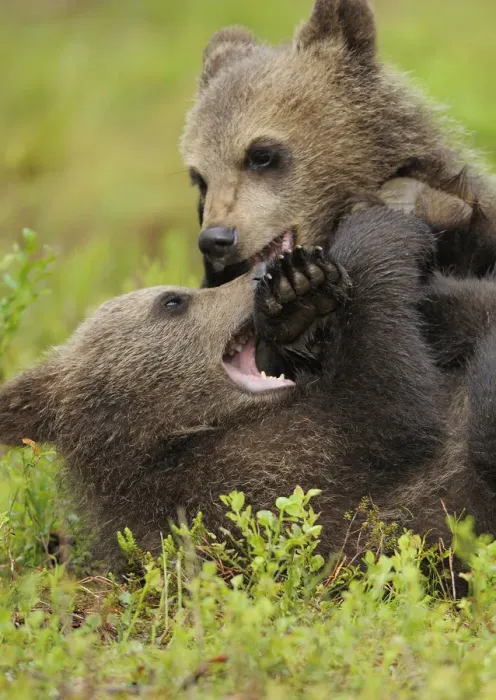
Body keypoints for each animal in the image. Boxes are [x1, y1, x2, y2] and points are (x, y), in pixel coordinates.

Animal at [1, 207, 496, 571]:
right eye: (173, 301)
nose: (261, 267)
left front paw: (299, 296)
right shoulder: (270, 476)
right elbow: (388, 403)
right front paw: (378, 232)